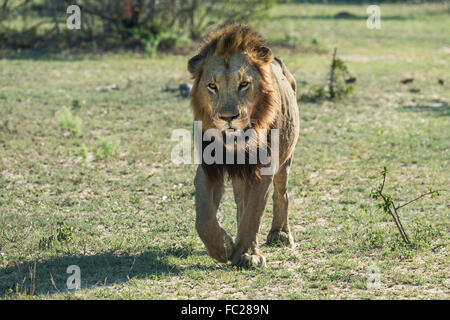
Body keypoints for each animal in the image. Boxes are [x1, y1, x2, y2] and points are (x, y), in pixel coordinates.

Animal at [186, 24, 298, 268]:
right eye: (212, 86)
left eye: (244, 84)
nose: (229, 117)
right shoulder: (208, 167)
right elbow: (204, 219)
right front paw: (224, 248)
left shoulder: (263, 169)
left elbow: (253, 213)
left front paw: (247, 254)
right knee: (240, 202)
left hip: (286, 159)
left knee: (281, 194)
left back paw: (280, 235)